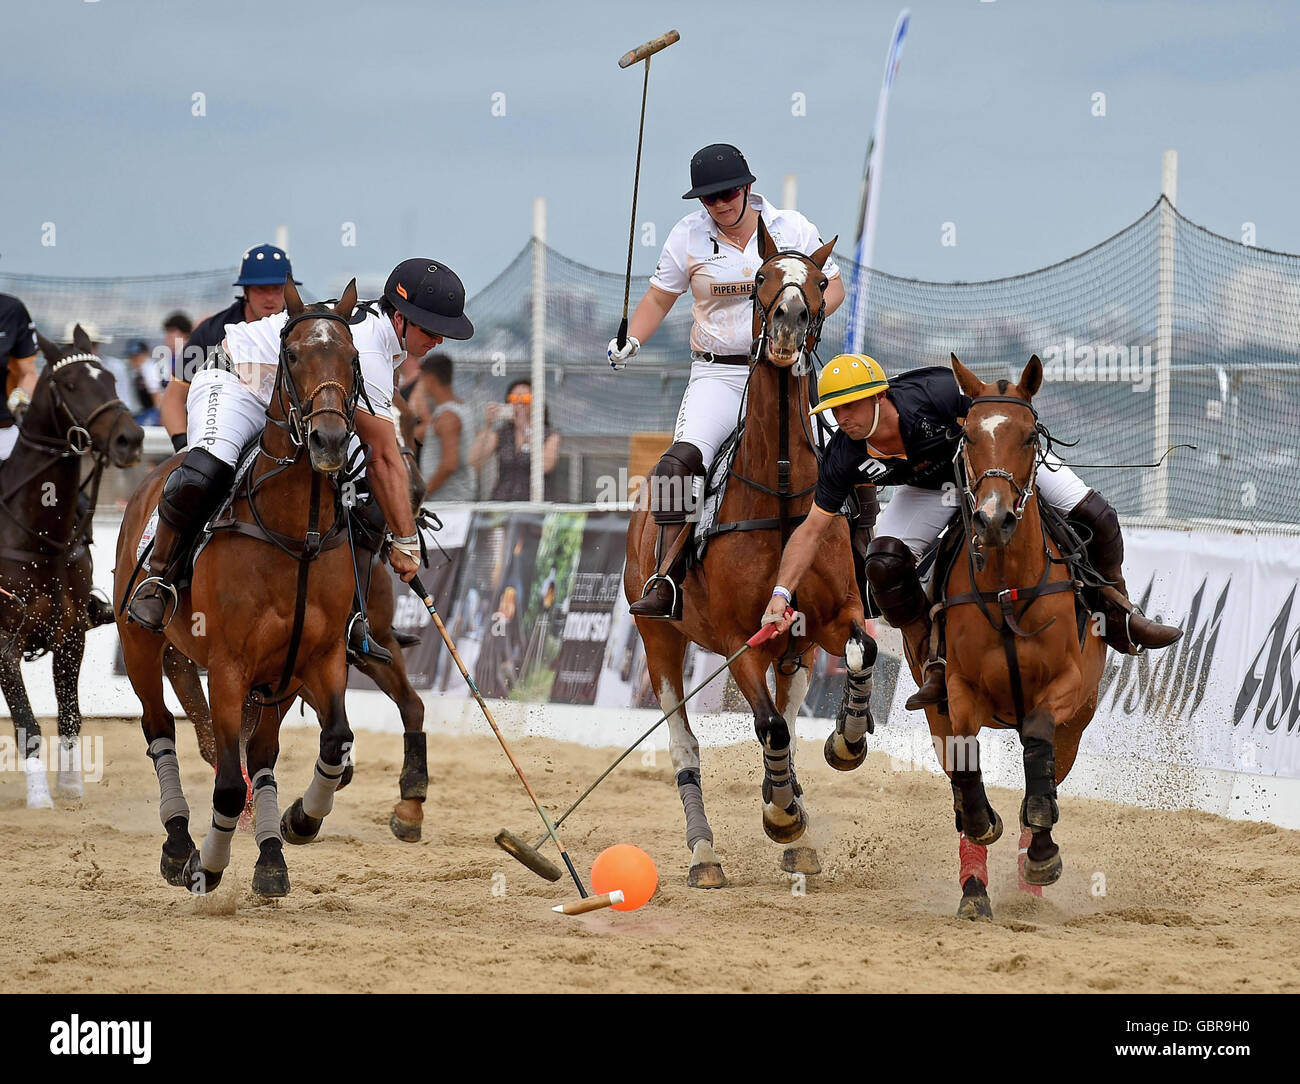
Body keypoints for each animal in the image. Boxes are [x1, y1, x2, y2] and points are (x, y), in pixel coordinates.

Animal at [0, 324, 142, 805]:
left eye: (112, 380)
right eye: (70, 384)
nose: (131, 439)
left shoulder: (70, 634)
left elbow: (70, 716)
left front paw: (71, 788)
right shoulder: (4, 642)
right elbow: (26, 722)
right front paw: (40, 797)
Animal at [115, 278, 366, 894]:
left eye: (352, 358)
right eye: (291, 355)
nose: (328, 440)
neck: (295, 532)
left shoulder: (319, 657)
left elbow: (333, 740)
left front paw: (300, 822)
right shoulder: (229, 666)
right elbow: (228, 780)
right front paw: (204, 866)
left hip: (276, 681)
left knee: (264, 753)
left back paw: (271, 856)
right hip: (140, 643)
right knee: (160, 728)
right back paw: (178, 841)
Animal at [626, 219, 878, 889]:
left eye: (816, 280)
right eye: (763, 277)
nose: (789, 323)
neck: (785, 490)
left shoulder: (830, 616)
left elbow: (861, 651)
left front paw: (846, 743)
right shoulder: (738, 638)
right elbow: (767, 725)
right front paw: (780, 816)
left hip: (792, 651)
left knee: (786, 712)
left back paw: (797, 825)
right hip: (658, 640)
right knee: (687, 745)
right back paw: (707, 853)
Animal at [915, 356, 1107, 920]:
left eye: (1027, 436)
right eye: (968, 435)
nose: (993, 519)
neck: (1007, 588)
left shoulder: (1067, 685)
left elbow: (1038, 753)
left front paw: (1041, 856)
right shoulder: (957, 689)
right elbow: (966, 763)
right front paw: (982, 827)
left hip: (1077, 725)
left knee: (1044, 764)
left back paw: (1030, 881)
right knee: (960, 781)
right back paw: (975, 888)